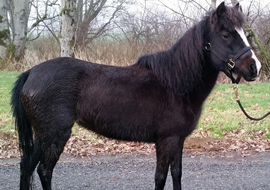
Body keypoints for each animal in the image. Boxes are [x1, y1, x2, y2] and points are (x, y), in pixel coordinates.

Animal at [11, 1, 260, 190]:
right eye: (226, 34)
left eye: (244, 33)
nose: (254, 67)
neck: (175, 83)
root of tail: (31, 72)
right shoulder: (166, 140)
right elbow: (160, 178)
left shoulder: (178, 140)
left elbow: (176, 174)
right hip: (53, 134)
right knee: (43, 169)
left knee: (28, 167)